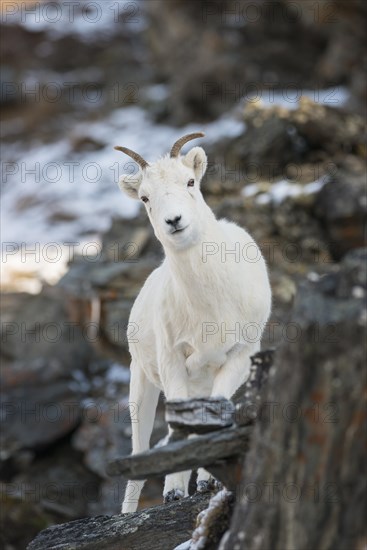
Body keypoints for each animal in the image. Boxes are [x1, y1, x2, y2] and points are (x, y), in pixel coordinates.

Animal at [115, 133, 274, 512]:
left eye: (190, 182)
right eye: (145, 198)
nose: (174, 221)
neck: (211, 308)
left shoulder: (237, 358)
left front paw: (207, 483)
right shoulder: (173, 362)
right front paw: (174, 492)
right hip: (141, 384)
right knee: (139, 452)